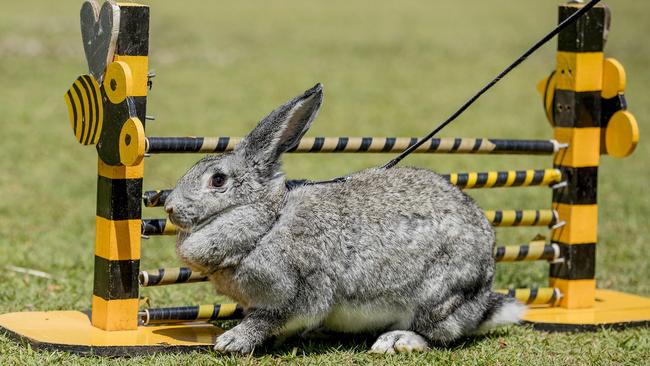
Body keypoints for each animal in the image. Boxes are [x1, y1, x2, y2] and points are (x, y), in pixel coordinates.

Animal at [165, 83, 524, 354]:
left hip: (439, 297)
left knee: (439, 335)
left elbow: (265, 320)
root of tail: (482, 300)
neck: (268, 222)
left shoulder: (294, 293)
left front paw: (231, 341)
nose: (169, 207)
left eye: (218, 180)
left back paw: (396, 341)